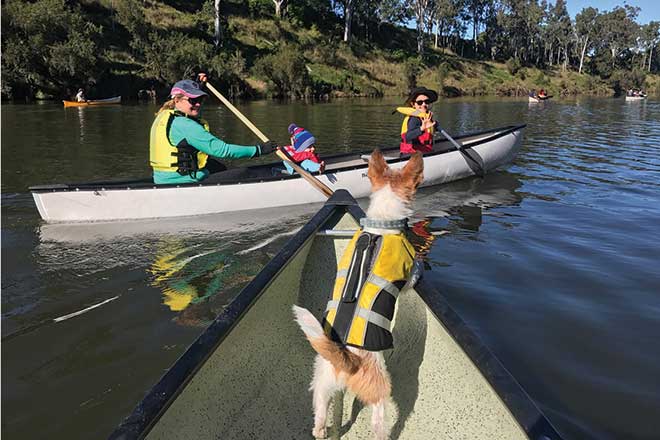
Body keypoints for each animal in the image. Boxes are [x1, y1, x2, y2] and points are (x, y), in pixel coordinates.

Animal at [292, 150, 422, 438]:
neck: (381, 223)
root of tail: (347, 360)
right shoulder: (406, 274)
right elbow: (413, 277)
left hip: (321, 386)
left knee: (319, 421)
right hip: (380, 394)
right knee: (380, 423)